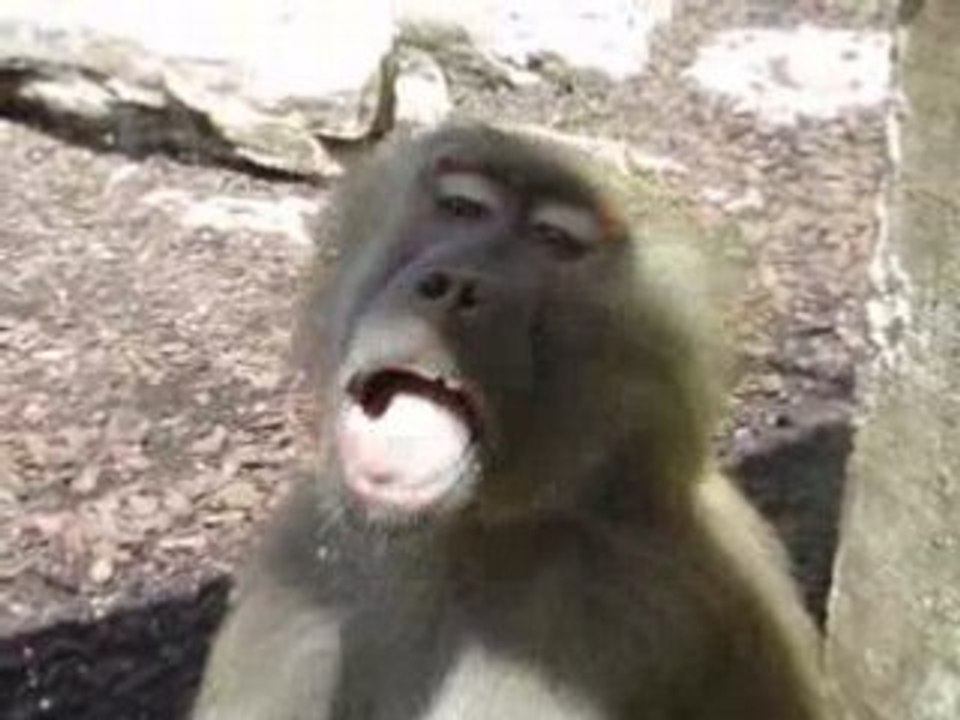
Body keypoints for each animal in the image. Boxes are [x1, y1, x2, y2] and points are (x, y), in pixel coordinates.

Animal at [191, 123, 832, 720]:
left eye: (552, 239)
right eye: (463, 207)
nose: (454, 287)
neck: (460, 539)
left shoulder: (597, 619)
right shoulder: (300, 566)